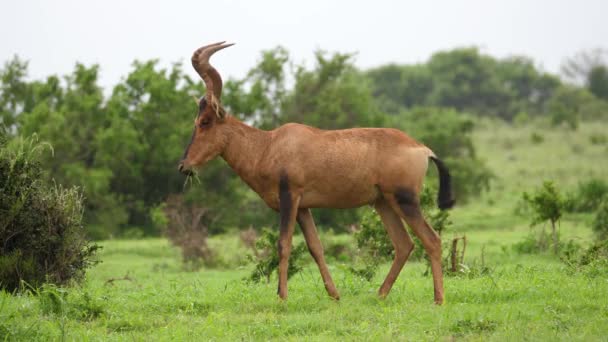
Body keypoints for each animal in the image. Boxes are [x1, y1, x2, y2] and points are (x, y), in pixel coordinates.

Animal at [178, 40, 454, 304]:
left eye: (205, 121)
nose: (184, 166)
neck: (268, 144)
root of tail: (423, 149)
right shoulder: (303, 207)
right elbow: (315, 247)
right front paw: (334, 294)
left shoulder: (290, 197)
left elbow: (283, 244)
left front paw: (282, 297)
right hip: (383, 202)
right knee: (404, 244)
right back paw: (380, 295)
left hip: (405, 199)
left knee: (432, 240)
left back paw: (438, 299)